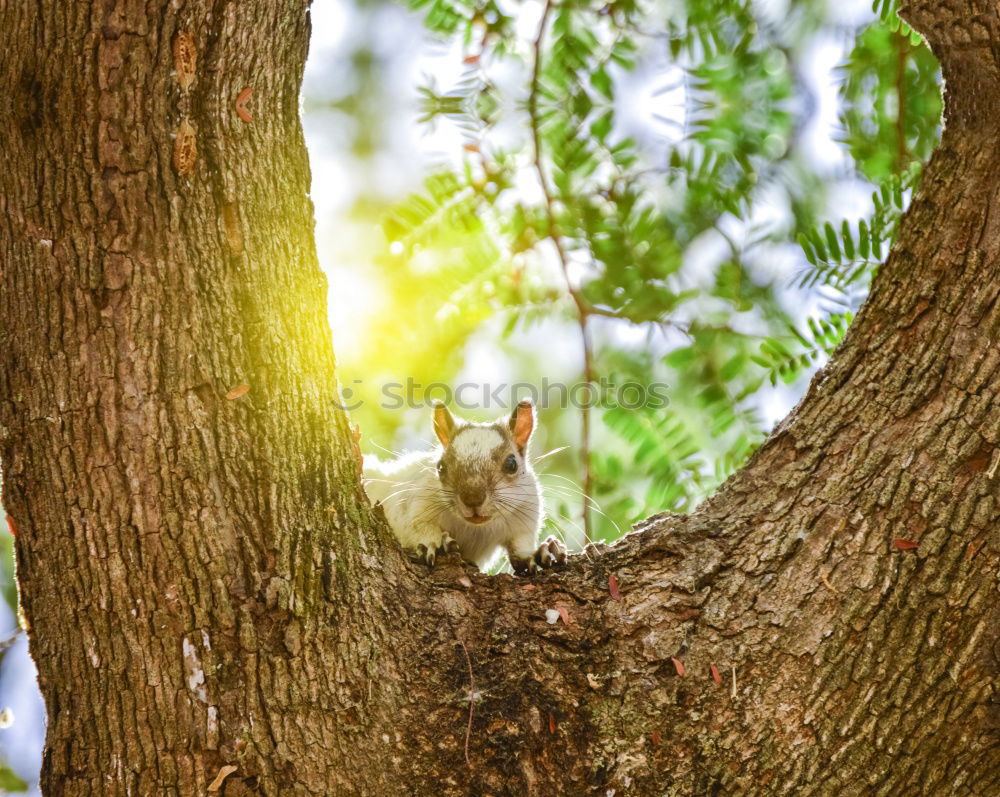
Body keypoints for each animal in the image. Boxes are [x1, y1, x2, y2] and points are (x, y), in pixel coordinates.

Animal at [362, 398, 568, 572]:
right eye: (440, 466)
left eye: (512, 464)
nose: (473, 499)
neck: (477, 528)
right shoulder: (414, 504)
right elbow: (417, 527)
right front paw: (435, 543)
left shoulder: (524, 518)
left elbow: (521, 545)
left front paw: (543, 551)